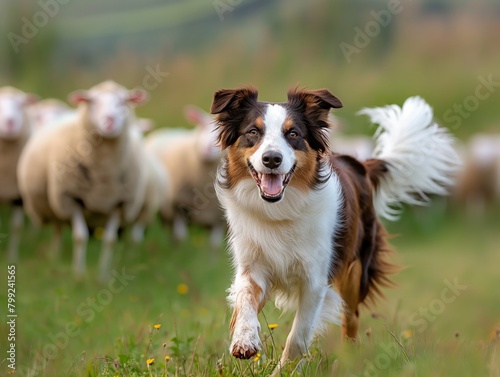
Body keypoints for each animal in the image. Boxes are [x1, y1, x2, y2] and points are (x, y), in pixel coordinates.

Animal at [18, 80, 150, 280]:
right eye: (92, 101)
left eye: (123, 101)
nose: (110, 121)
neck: (104, 173)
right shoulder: (71, 198)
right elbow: (80, 237)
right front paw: (78, 274)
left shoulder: (119, 203)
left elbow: (110, 241)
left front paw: (103, 276)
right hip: (57, 202)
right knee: (58, 227)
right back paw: (54, 257)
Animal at [144, 104, 224, 248]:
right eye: (201, 127)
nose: (207, 148)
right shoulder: (177, 205)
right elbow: (180, 237)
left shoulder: (219, 217)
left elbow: (214, 245)